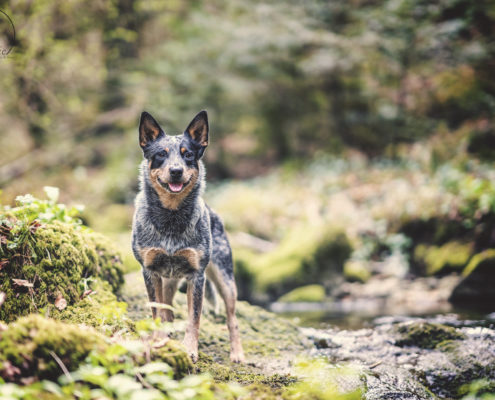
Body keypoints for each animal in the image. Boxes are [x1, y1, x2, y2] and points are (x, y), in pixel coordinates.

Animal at [131, 109, 245, 362]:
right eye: (161, 154)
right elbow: (158, 312)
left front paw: (190, 350)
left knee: (232, 319)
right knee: (168, 307)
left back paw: (237, 353)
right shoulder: (150, 271)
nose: (176, 171)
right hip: (168, 279)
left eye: (188, 155)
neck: (171, 218)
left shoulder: (196, 275)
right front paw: (159, 341)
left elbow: (194, 318)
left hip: (225, 280)